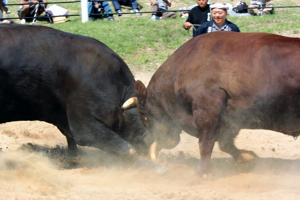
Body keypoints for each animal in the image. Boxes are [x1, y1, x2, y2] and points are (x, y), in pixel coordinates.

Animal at [135, 31, 300, 177]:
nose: (145, 141)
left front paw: (200, 174)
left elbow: (205, 143)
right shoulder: (228, 120)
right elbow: (225, 144)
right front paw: (247, 157)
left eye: (145, 118)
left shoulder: (207, 109)